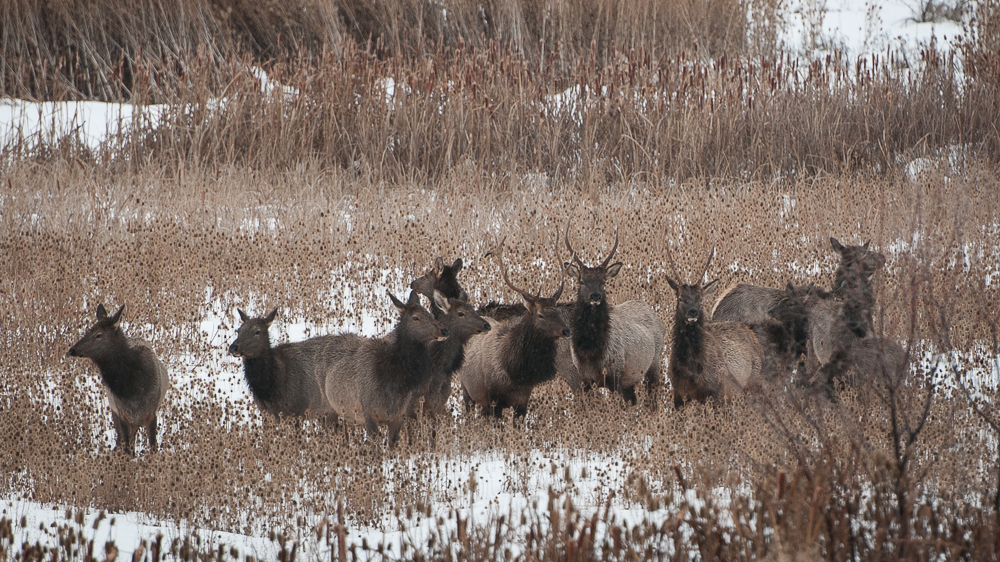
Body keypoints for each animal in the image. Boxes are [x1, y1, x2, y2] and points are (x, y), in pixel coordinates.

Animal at [68, 302, 170, 456]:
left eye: (99, 335)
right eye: (89, 330)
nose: (71, 350)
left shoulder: (151, 413)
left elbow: (153, 448)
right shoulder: (122, 414)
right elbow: (128, 449)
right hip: (114, 411)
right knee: (121, 440)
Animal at [460, 248, 572, 416]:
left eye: (557, 311)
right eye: (540, 315)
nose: (566, 331)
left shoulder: (522, 401)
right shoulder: (494, 399)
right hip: (467, 391)